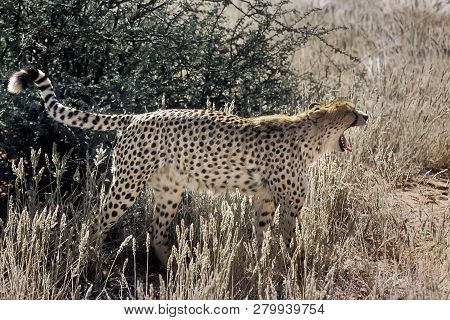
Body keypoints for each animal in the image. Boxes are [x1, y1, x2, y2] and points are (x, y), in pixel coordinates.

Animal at [7, 67, 370, 264]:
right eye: (350, 112)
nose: (366, 115)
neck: (308, 136)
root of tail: (138, 115)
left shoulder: (264, 199)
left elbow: (261, 234)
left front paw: (259, 262)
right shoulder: (290, 203)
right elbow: (290, 237)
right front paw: (294, 264)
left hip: (169, 191)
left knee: (157, 232)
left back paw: (175, 269)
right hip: (126, 185)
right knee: (95, 222)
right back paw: (92, 261)